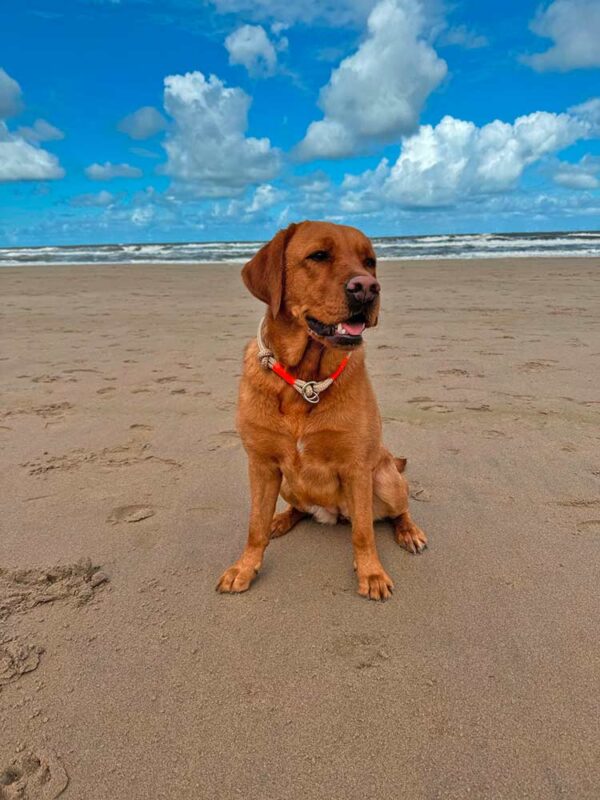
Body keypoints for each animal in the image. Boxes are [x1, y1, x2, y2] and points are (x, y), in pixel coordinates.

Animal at [217, 220, 426, 600]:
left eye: (369, 262)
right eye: (318, 256)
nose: (367, 288)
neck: (305, 380)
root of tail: (333, 512)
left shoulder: (357, 468)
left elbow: (363, 532)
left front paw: (371, 573)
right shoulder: (261, 465)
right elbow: (254, 526)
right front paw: (245, 567)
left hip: (385, 478)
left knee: (397, 510)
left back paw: (408, 531)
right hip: (287, 484)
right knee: (297, 508)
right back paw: (281, 519)